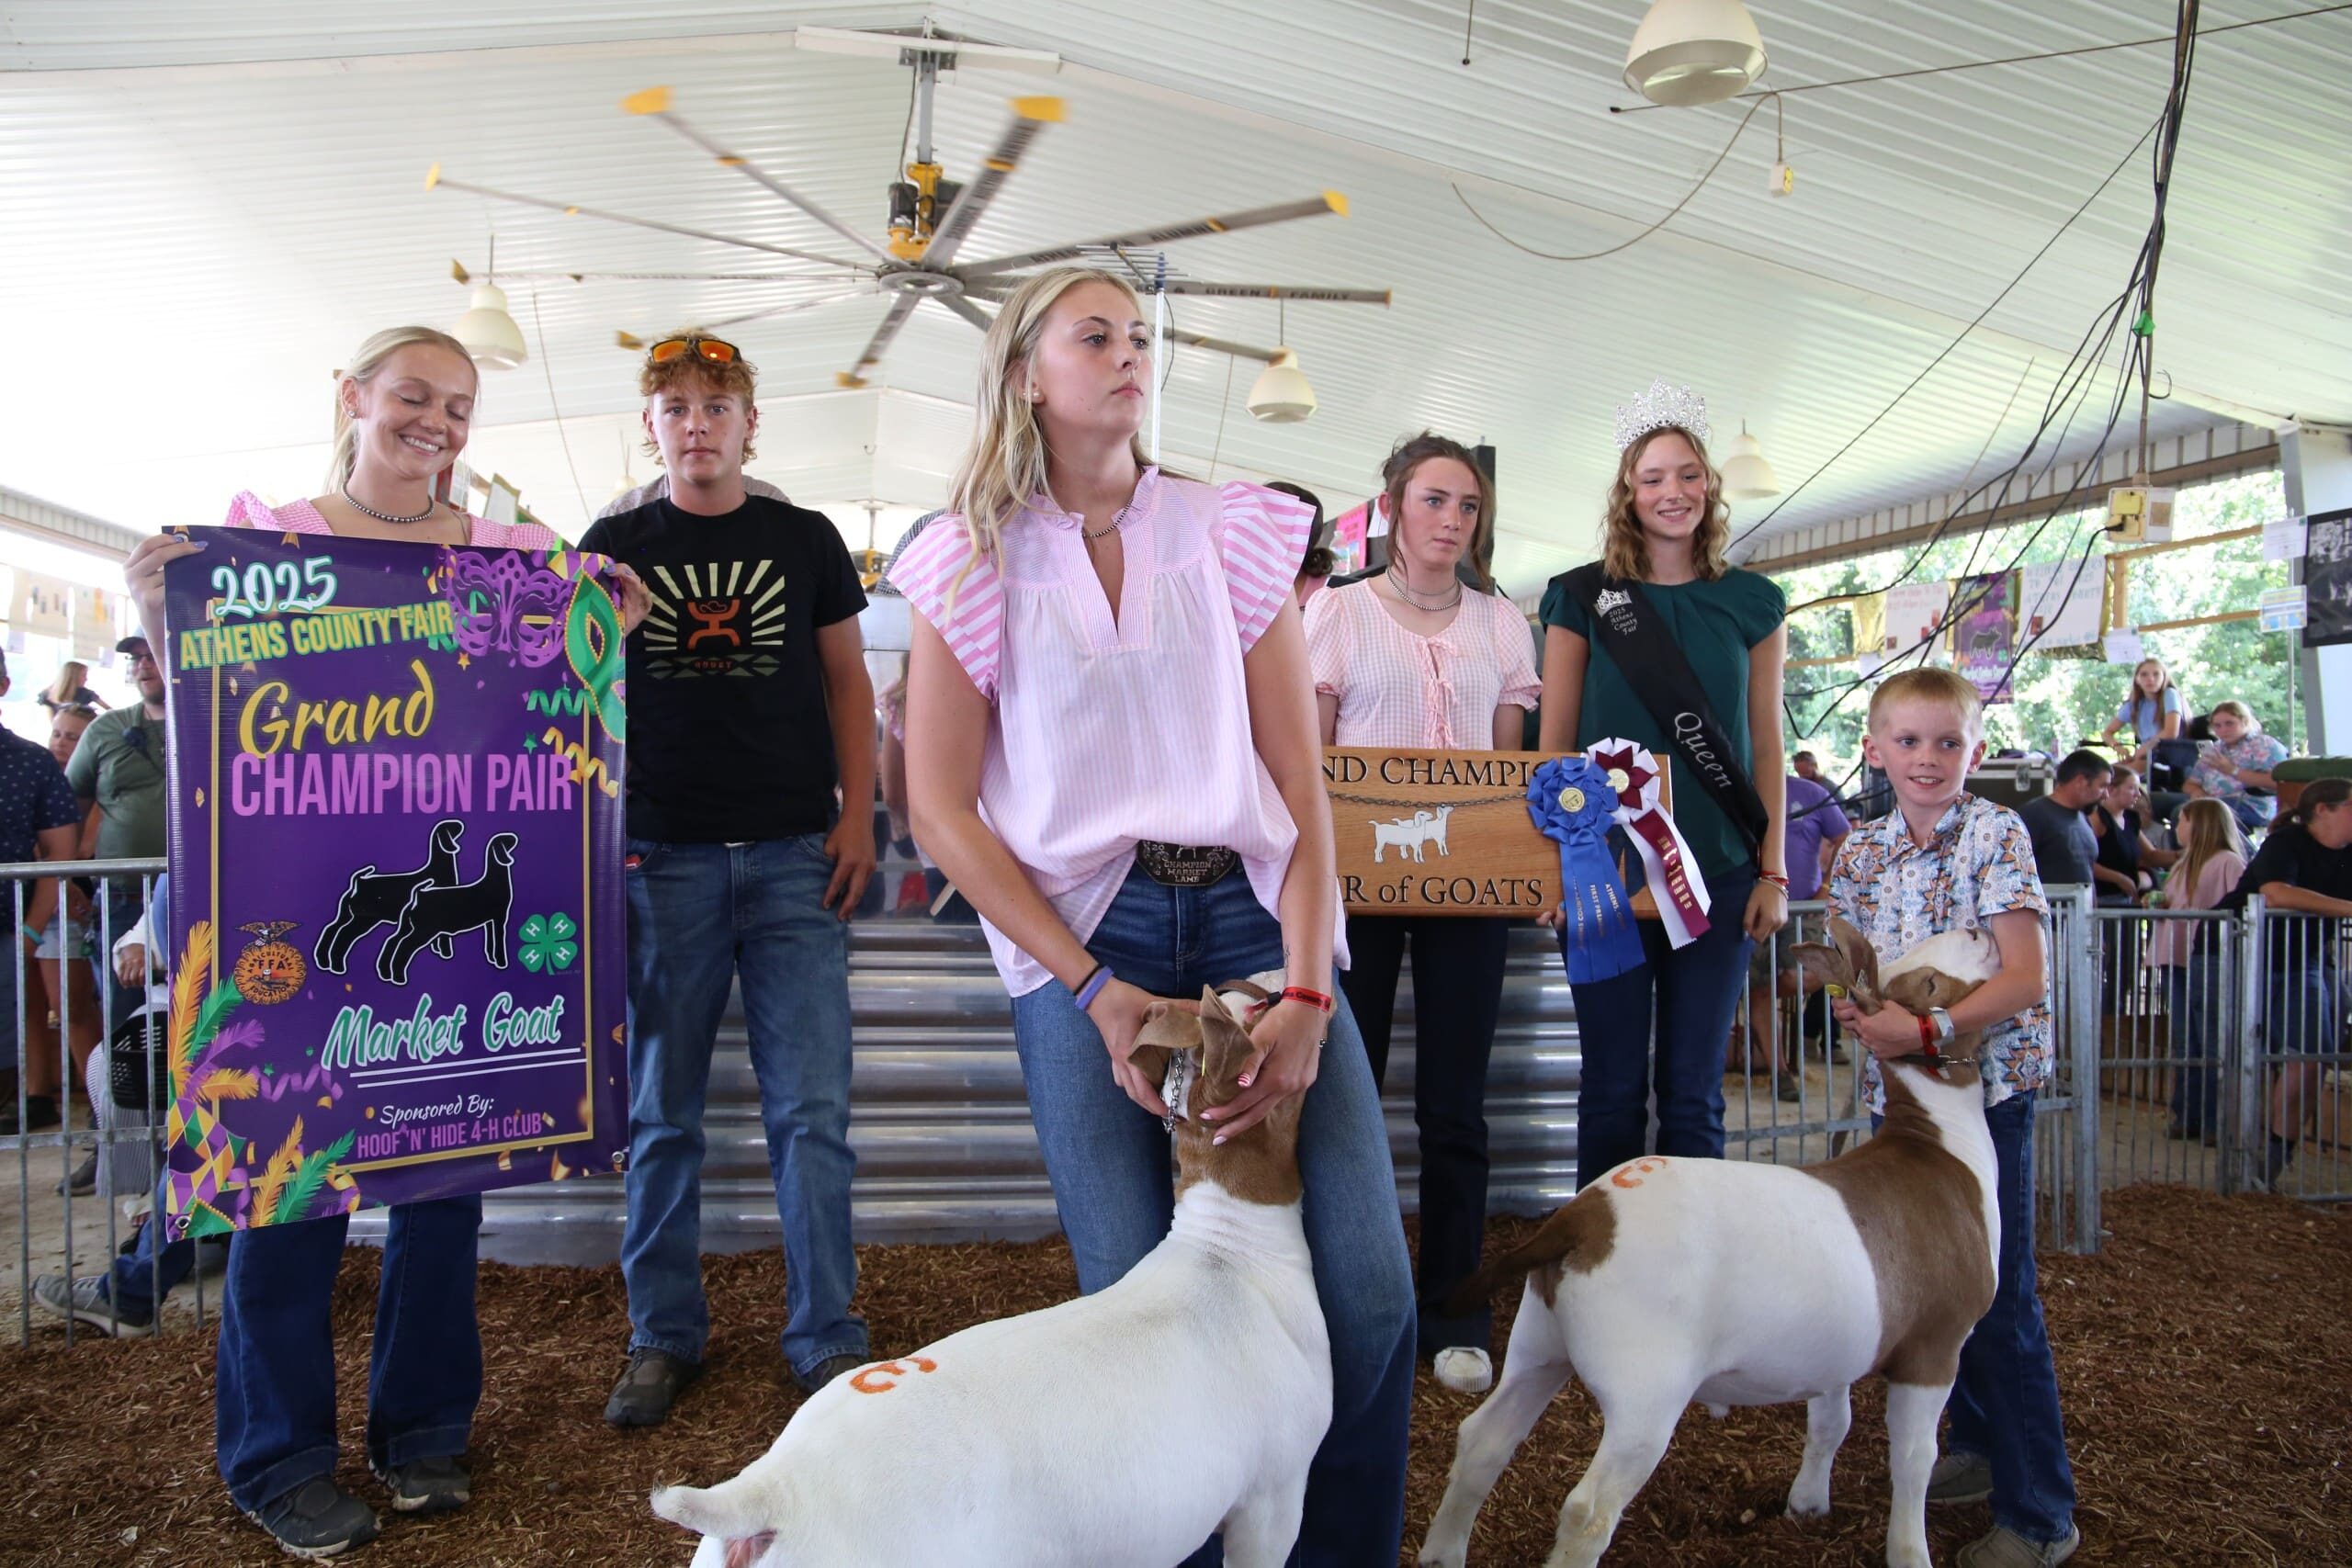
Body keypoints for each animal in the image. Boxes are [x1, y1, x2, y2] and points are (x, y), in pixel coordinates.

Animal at [315, 819, 463, 974]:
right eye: (451, 826)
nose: (460, 824)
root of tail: (359, 881)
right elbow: (444, 937)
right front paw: (446, 953)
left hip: (347, 916)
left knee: (332, 929)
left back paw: (324, 962)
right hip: (363, 919)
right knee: (344, 934)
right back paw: (338, 966)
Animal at [378, 832, 519, 984]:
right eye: (506, 839)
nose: (515, 837)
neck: (494, 881)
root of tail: (418, 895)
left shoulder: (489, 921)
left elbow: (490, 942)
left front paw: (492, 959)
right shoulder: (500, 918)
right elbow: (498, 942)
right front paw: (501, 962)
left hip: (407, 927)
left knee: (392, 941)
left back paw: (386, 973)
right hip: (423, 931)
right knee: (404, 946)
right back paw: (399, 977)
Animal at [1416, 917, 2003, 1568]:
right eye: (1929, 984)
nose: (1979, 931)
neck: (1938, 1144)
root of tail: (1580, 1219)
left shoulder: (1842, 1345)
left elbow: (1831, 1421)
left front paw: (1808, 1504)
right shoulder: (1935, 1344)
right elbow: (1914, 1460)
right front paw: (1909, 1550)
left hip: (1539, 1344)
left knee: (1482, 1440)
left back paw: (1441, 1552)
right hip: (1645, 1389)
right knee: (1587, 1509)